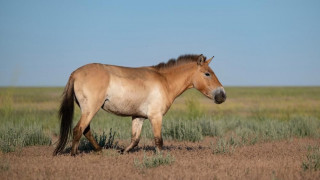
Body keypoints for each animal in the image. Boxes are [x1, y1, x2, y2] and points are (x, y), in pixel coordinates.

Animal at [53, 54, 225, 155]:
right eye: (207, 74)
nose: (222, 95)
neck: (164, 81)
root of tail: (75, 73)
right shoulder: (156, 117)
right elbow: (158, 141)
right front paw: (161, 158)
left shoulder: (138, 117)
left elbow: (135, 140)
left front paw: (122, 152)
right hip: (90, 109)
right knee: (79, 129)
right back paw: (74, 154)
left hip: (87, 110)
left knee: (86, 130)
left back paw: (100, 150)